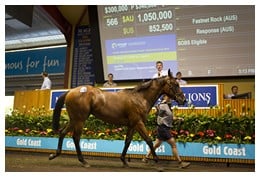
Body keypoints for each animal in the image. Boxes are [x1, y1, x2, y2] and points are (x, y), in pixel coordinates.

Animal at [49, 69, 187, 167]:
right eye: (175, 84)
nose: (183, 100)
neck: (139, 98)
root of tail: (70, 91)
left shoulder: (132, 124)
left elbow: (128, 141)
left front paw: (124, 160)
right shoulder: (138, 122)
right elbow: (148, 140)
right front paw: (156, 160)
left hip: (74, 119)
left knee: (63, 133)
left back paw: (55, 155)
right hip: (80, 120)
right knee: (76, 137)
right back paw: (83, 161)